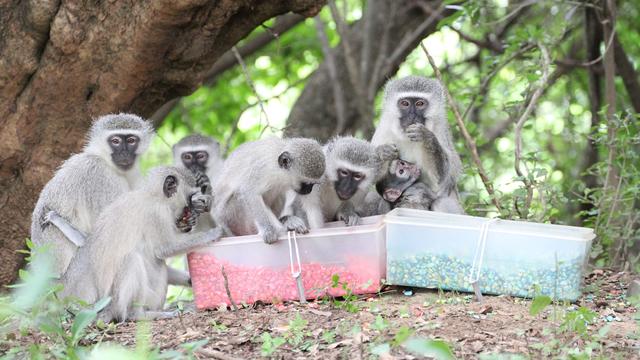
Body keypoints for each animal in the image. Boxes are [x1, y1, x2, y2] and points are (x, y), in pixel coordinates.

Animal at [370, 76, 464, 214]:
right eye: (405, 103)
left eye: (420, 104)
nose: (412, 116)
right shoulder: (384, 128)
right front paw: (383, 152)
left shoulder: (440, 129)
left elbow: (443, 180)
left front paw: (426, 136)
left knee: (441, 202)